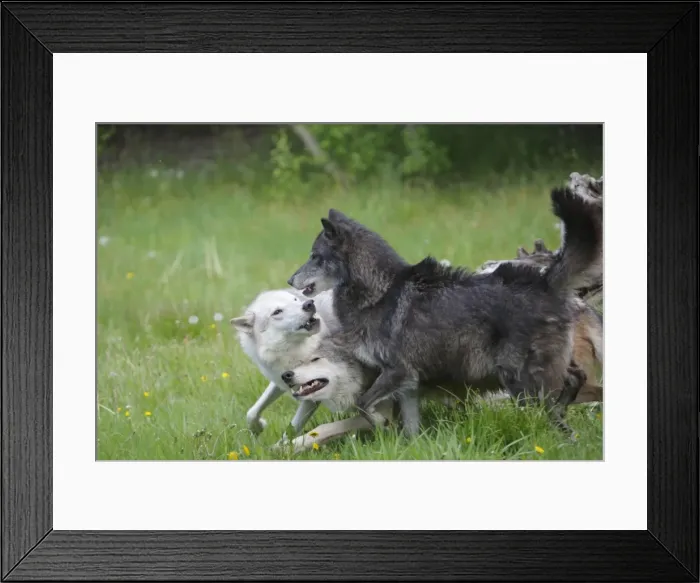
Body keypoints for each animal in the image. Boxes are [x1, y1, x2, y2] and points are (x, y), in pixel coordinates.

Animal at [287, 185, 603, 438]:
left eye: (315, 257)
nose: (290, 280)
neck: (379, 293)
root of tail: (545, 281)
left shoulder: (397, 371)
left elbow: (363, 405)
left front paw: (378, 424)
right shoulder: (408, 383)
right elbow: (408, 427)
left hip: (521, 382)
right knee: (575, 380)